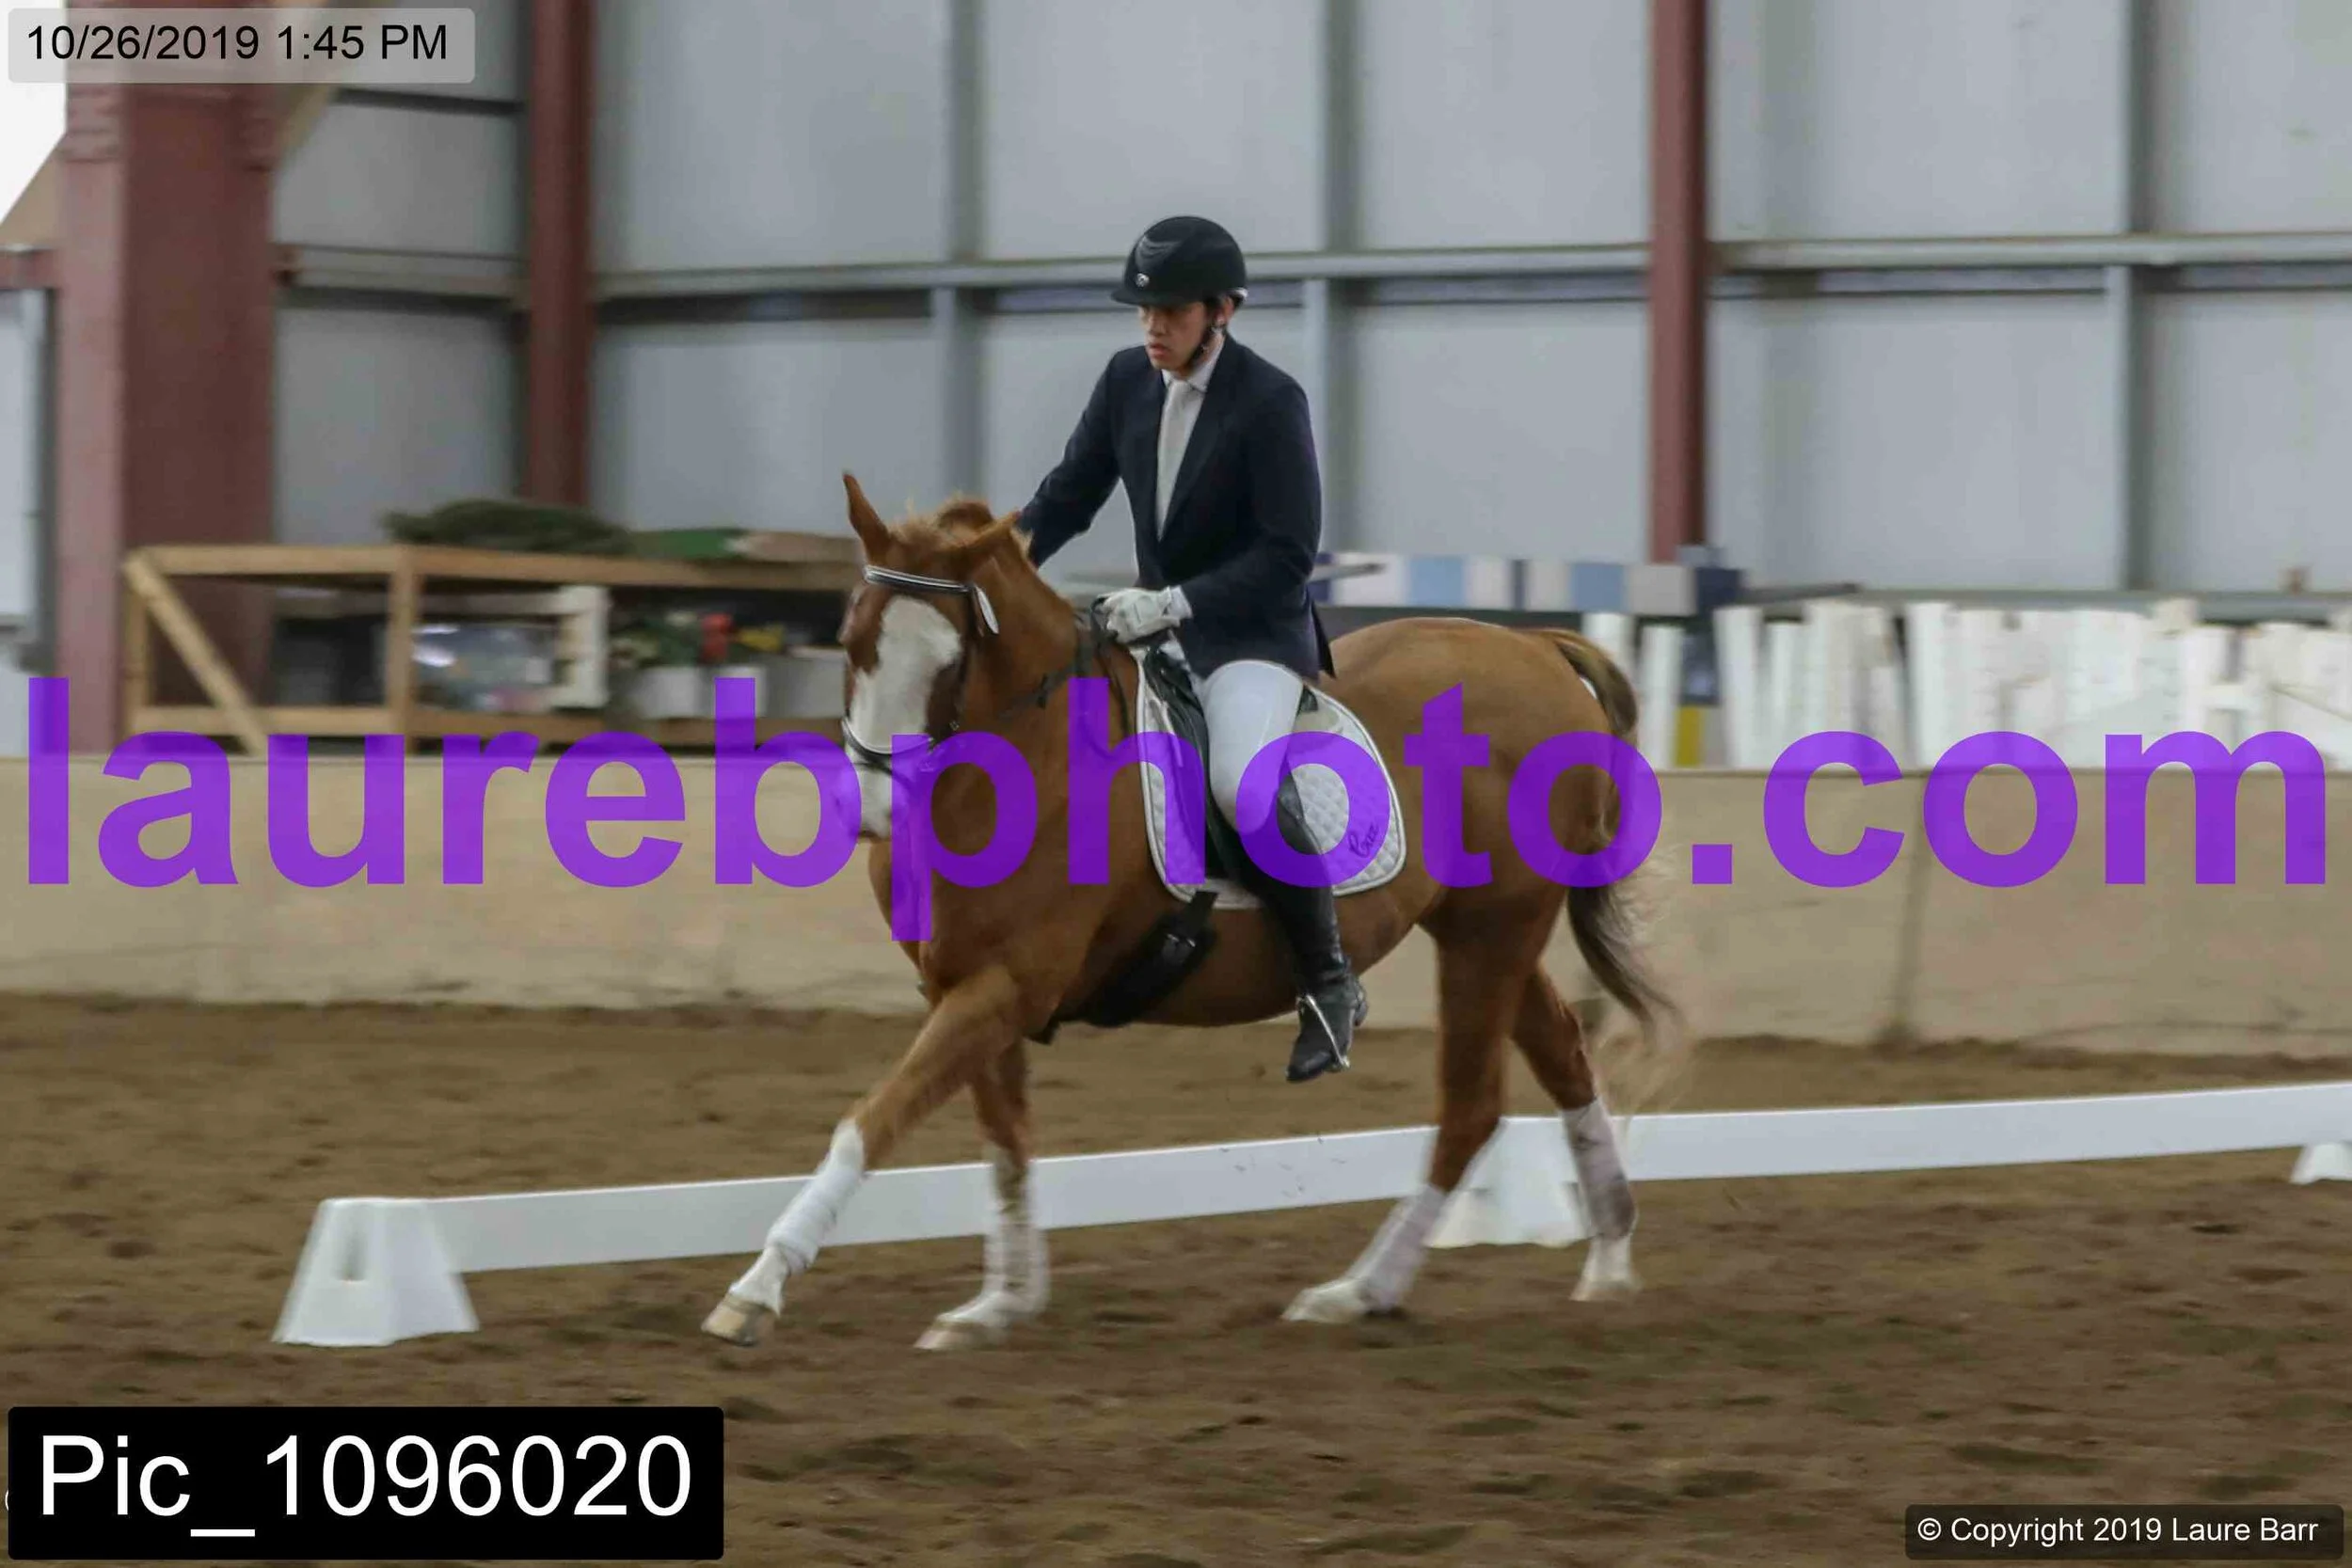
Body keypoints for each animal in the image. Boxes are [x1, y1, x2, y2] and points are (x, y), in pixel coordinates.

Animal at [701, 474, 1688, 1352]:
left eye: (952, 660)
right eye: (852, 638)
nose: (873, 812)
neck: (1021, 764)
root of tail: (1538, 650)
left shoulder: (1007, 986)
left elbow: (871, 1121)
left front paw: (756, 1290)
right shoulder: (963, 986)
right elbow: (1005, 1142)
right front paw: (1001, 1305)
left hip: (1494, 931)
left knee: (1471, 1106)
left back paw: (1359, 1290)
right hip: (1485, 931)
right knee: (1561, 1056)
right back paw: (1608, 1256)